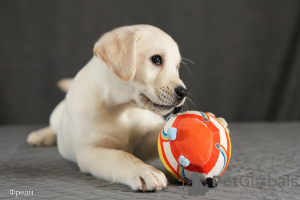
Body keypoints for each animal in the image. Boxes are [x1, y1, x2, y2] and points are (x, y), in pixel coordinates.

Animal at [28, 24, 189, 191]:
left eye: (177, 66)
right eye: (156, 59)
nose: (184, 92)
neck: (124, 108)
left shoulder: (143, 143)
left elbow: (158, 134)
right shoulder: (91, 151)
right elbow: (121, 156)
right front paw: (144, 171)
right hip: (56, 115)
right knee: (54, 127)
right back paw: (40, 135)